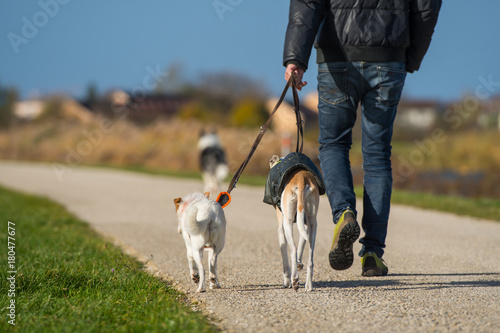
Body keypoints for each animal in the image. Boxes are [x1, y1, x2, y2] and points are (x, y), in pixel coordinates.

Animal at [270, 154, 320, 290]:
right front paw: (298, 264)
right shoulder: (305, 224)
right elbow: (302, 245)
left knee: (293, 248)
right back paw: (308, 285)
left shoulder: (281, 229)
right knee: (310, 259)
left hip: (287, 222)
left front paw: (286, 281)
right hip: (312, 224)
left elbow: (285, 260)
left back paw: (295, 280)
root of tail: (302, 179)